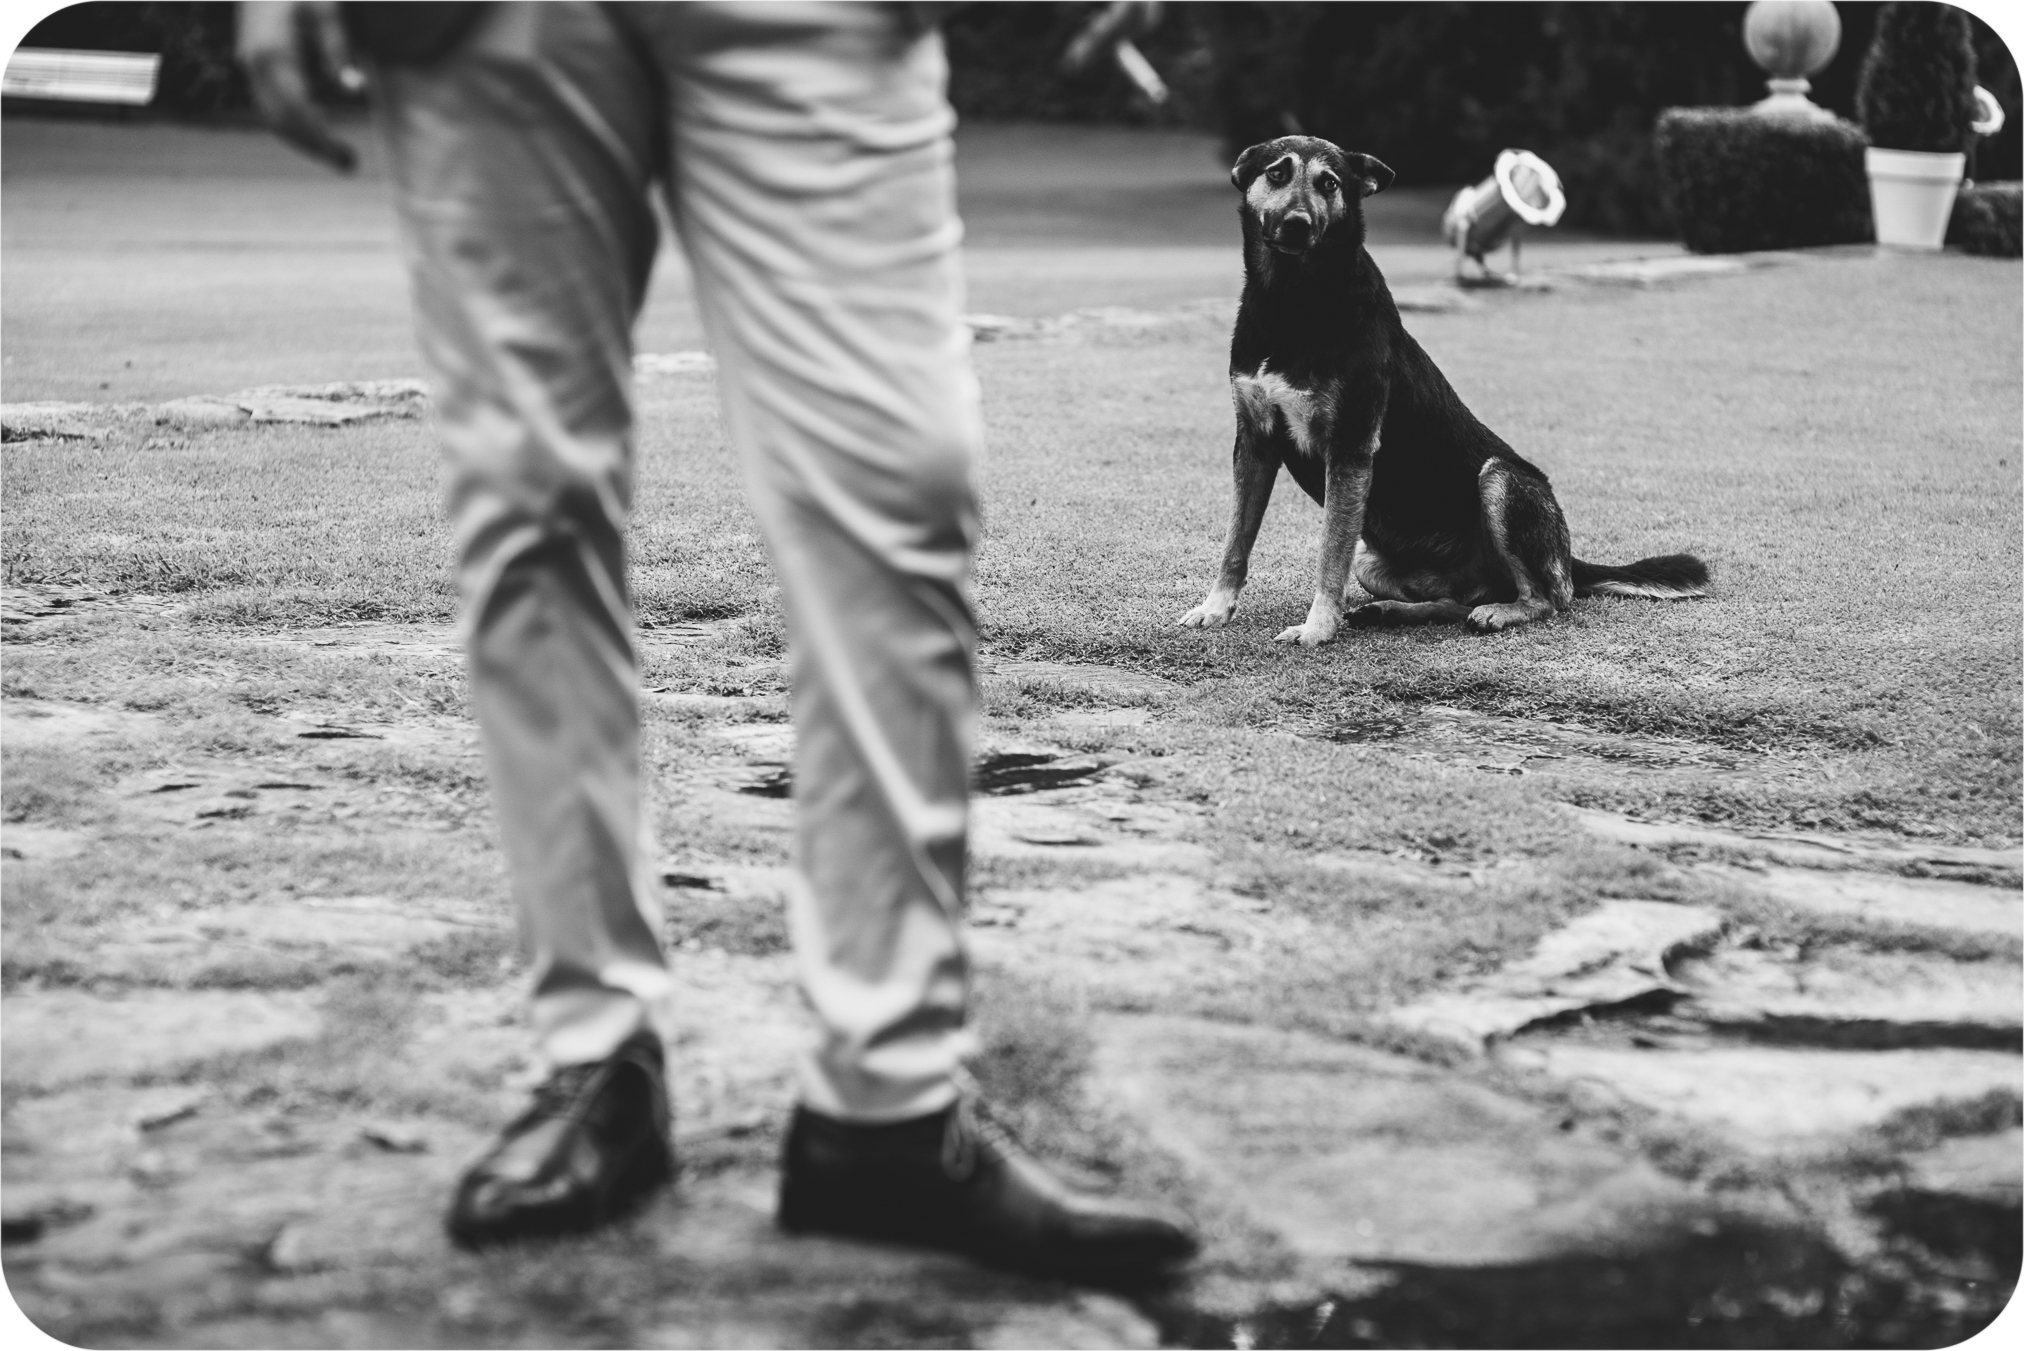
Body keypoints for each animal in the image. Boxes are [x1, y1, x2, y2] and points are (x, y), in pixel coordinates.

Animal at [1173, 135, 1708, 644]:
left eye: (1330, 184)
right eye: (1277, 173)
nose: (1297, 225)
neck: (1291, 300)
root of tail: (1571, 558)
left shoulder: (1350, 449)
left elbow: (1328, 555)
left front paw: (1318, 628)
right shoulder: (1254, 446)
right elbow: (1236, 542)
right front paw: (1215, 608)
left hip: (1500, 480)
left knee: (1547, 598)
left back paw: (1498, 612)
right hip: (1372, 558)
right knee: (1459, 601)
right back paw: (1391, 612)